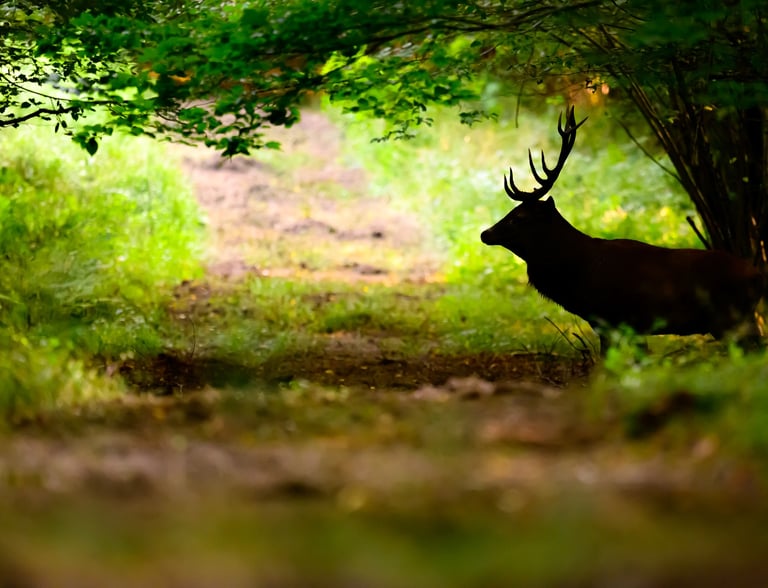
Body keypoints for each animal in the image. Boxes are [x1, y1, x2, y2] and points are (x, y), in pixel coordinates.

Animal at [480, 107, 764, 354]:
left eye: (519, 217)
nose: (485, 233)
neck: (579, 274)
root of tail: (758, 275)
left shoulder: (620, 320)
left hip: (732, 319)